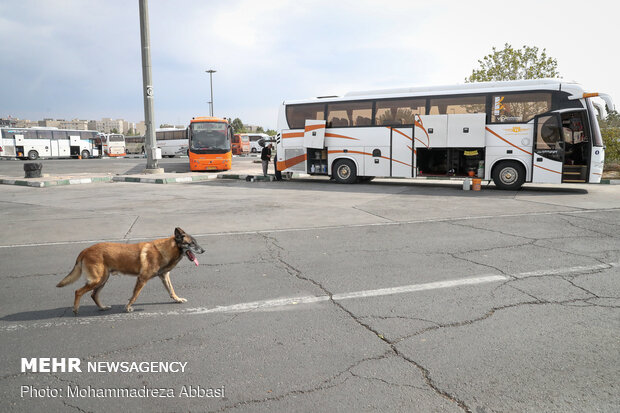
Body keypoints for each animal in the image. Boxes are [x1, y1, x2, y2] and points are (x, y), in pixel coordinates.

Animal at [56, 227, 205, 314]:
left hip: (103, 279)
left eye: (196, 242)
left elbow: (171, 290)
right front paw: (128, 307)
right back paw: (75, 310)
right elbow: (135, 295)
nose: (203, 250)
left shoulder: (164, 276)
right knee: (78, 291)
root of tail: (85, 250)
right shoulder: (142, 279)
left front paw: (177, 299)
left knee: (94, 295)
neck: (167, 250)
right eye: (191, 243)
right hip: (97, 280)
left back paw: (102, 307)